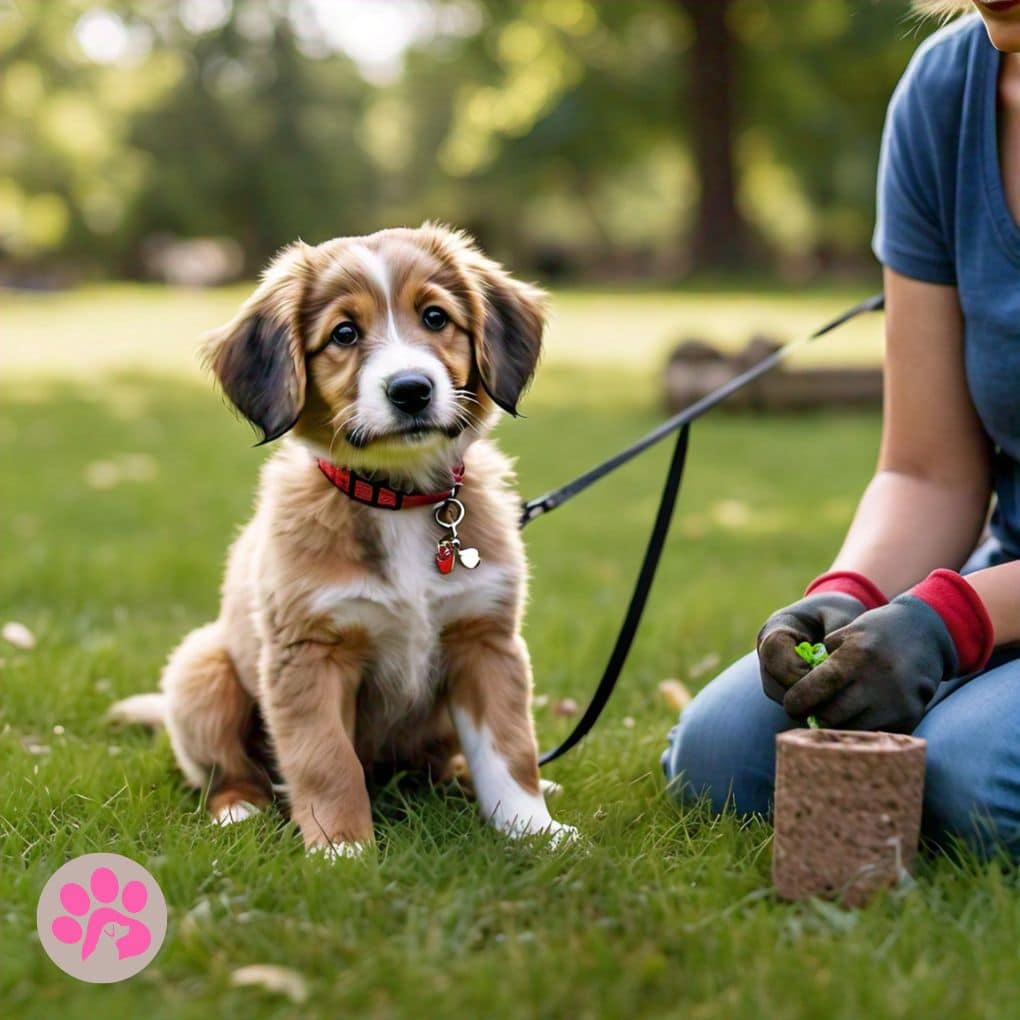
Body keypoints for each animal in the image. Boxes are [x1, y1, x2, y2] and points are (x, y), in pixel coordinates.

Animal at [115, 223, 579, 852]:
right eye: (344, 333)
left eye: (435, 317)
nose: (411, 389)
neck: (397, 497)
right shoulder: (310, 655)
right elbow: (327, 761)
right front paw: (344, 851)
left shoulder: (484, 640)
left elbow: (511, 753)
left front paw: (536, 831)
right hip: (200, 669)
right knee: (229, 773)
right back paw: (241, 810)